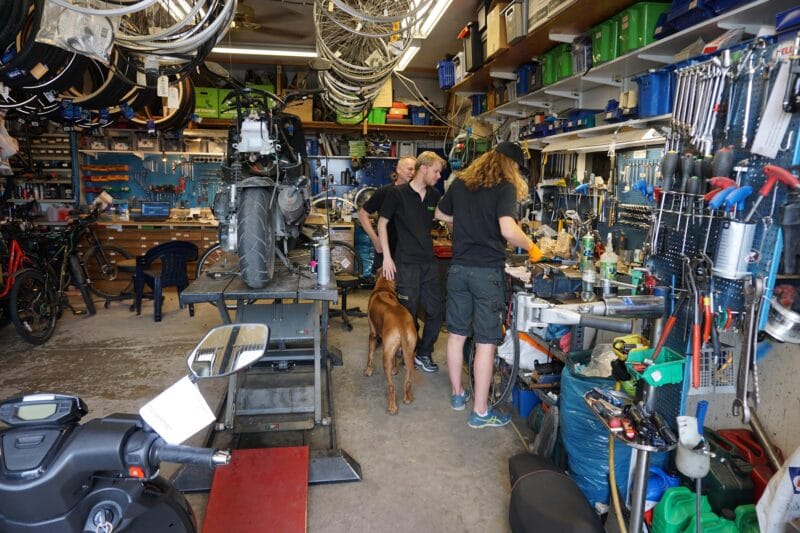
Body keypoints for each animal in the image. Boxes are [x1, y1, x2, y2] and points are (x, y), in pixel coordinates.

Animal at [364, 270, 417, 414]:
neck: (384, 287)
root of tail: (401, 322)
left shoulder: (373, 334)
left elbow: (370, 354)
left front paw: (368, 370)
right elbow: (394, 359)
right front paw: (395, 370)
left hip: (385, 357)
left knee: (391, 386)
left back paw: (392, 407)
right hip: (409, 352)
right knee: (408, 380)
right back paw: (407, 398)